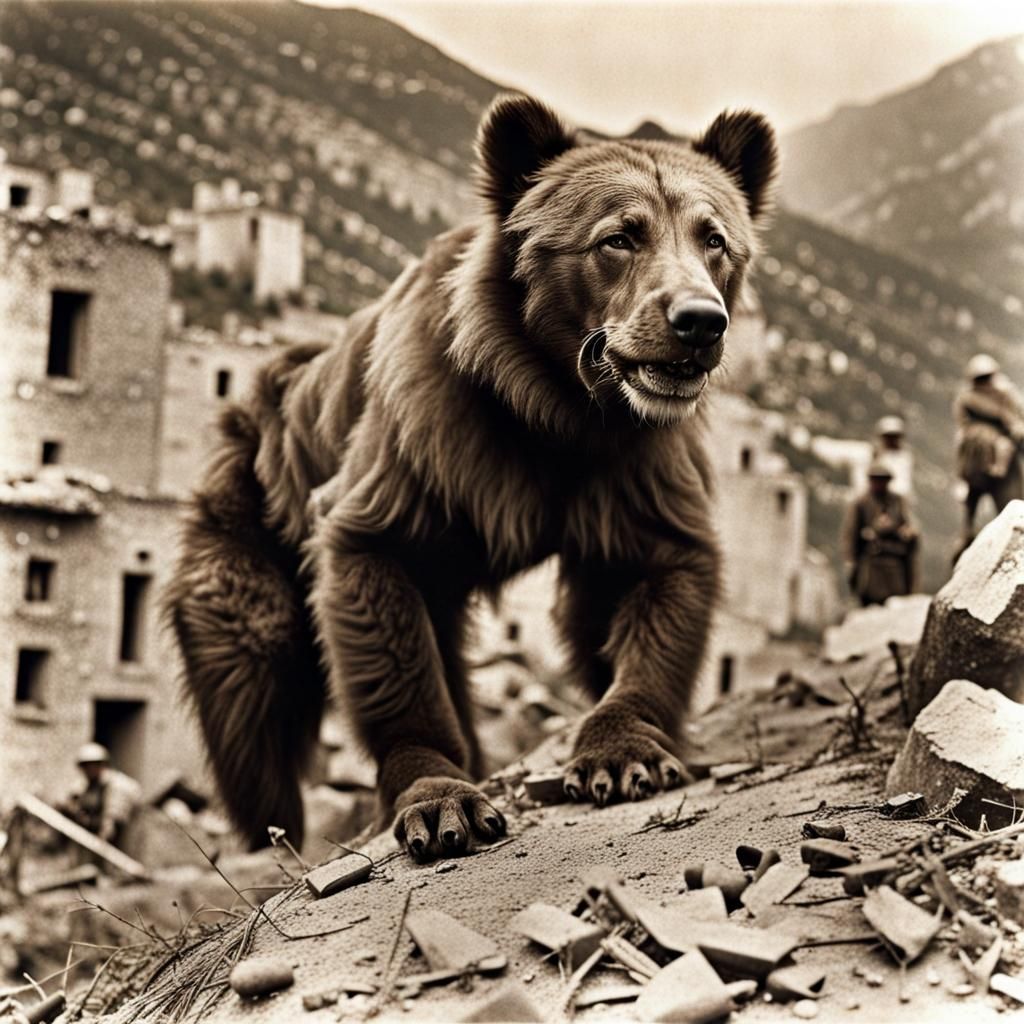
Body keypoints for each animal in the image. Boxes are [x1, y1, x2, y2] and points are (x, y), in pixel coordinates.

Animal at [164, 93, 779, 860]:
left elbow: (657, 581)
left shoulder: (630, 467)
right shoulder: (429, 443)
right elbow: (381, 603)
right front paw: (440, 800)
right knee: (254, 692)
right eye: (617, 238)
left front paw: (621, 751)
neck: (553, 405)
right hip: (248, 525)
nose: (698, 322)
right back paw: (272, 835)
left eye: (714, 239)